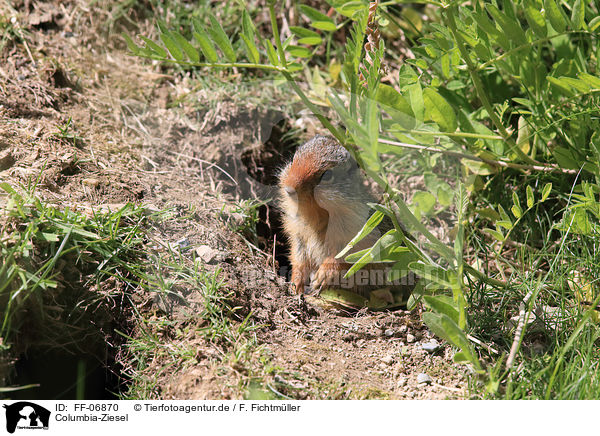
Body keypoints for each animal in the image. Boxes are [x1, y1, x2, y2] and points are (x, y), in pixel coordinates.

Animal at [280, 135, 412, 296]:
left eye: (327, 175)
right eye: (293, 159)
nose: (289, 188)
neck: (315, 212)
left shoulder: (356, 236)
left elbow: (341, 257)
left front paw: (322, 276)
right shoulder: (299, 235)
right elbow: (299, 258)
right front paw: (295, 283)